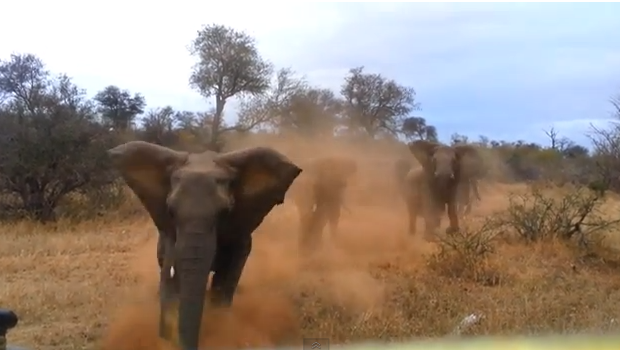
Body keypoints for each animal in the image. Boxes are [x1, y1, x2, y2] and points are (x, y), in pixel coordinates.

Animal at [109, 140, 302, 350]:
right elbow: (171, 286)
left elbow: (224, 281)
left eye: (225, 212)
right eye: (170, 212)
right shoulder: (170, 237)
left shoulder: (239, 236)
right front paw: (164, 340)